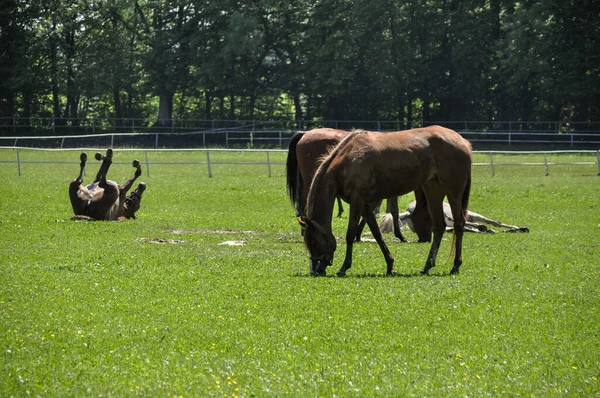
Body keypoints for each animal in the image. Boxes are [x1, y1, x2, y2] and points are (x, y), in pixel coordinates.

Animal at [302, 126, 472, 276]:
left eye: (314, 242)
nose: (315, 270)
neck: (347, 161)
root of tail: (463, 141)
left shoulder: (357, 203)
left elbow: (350, 234)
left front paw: (344, 267)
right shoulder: (365, 206)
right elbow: (377, 233)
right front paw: (390, 265)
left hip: (453, 193)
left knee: (459, 224)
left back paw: (455, 265)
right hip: (433, 191)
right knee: (439, 227)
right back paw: (427, 266)